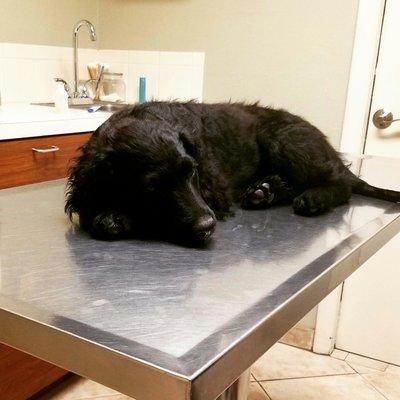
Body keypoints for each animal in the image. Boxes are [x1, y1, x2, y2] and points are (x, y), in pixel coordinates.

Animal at [65, 101, 400, 244]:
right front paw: (112, 215)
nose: (207, 226)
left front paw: (116, 218)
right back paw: (265, 191)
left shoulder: (215, 193)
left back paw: (311, 198)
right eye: (151, 187)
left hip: (283, 140)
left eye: (193, 172)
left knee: (341, 182)